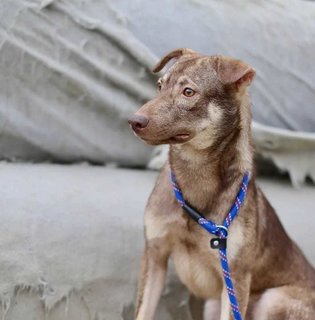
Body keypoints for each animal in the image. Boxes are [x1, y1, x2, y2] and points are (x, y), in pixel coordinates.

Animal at [128, 48, 315, 318]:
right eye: (159, 86)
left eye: (188, 92)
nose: (134, 121)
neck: (195, 172)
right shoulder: (155, 256)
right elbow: (144, 311)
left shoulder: (235, 278)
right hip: (212, 304)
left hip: (273, 299)